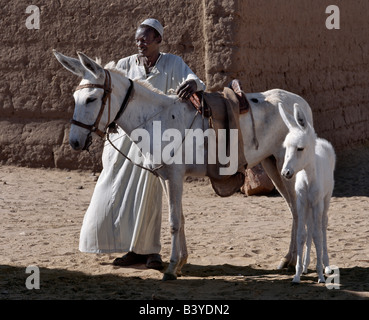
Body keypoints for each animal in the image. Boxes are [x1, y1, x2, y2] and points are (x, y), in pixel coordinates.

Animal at [278, 102, 334, 282]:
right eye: (286, 148)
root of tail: (321, 142)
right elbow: (302, 234)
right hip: (309, 206)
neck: (308, 178)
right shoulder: (302, 202)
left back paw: (326, 265)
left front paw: (320, 275)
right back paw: (304, 265)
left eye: (300, 148)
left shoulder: (317, 203)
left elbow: (317, 234)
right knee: (310, 227)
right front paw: (296, 275)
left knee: (323, 224)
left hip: (326, 200)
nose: (285, 173)